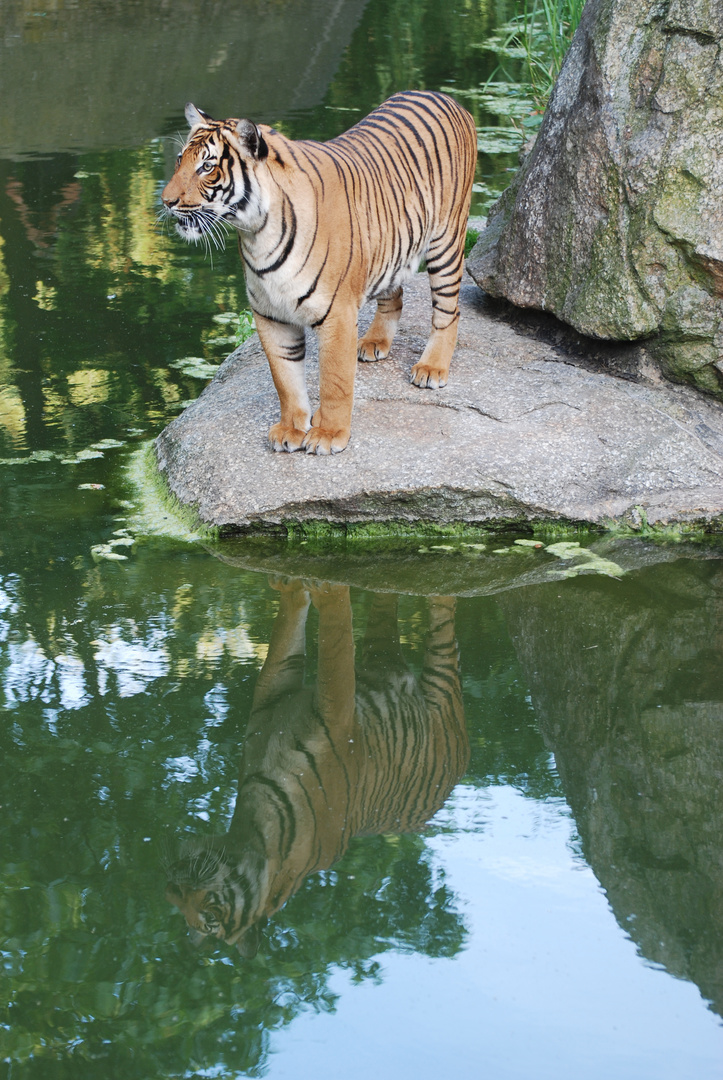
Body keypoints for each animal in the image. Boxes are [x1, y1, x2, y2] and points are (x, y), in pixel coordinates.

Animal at [163, 87, 479, 451]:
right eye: (179, 160)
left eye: (207, 166)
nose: (166, 201)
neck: (257, 234)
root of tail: (443, 95)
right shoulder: (270, 315)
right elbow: (285, 378)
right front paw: (291, 430)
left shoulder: (337, 314)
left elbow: (334, 381)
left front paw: (328, 434)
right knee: (395, 295)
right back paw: (375, 342)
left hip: (447, 239)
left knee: (449, 310)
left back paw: (432, 367)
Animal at [163, 578, 469, 959]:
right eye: (175, 898)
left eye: (210, 917)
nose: (172, 884)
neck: (255, 831)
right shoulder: (275, 690)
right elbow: (287, 636)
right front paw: (294, 590)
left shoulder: (338, 716)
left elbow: (335, 641)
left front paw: (325, 591)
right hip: (379, 648)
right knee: (385, 605)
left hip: (442, 670)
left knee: (446, 613)